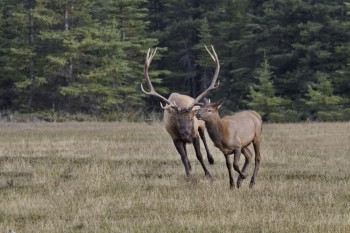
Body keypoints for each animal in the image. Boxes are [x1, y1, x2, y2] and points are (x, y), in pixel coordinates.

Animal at [142, 46, 219, 180]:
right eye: (177, 120)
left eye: (191, 119)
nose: (186, 133)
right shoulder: (175, 138)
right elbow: (183, 157)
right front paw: (188, 175)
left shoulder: (195, 135)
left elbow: (199, 155)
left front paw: (208, 174)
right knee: (186, 151)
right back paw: (190, 166)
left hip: (201, 126)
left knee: (204, 137)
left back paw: (211, 159)